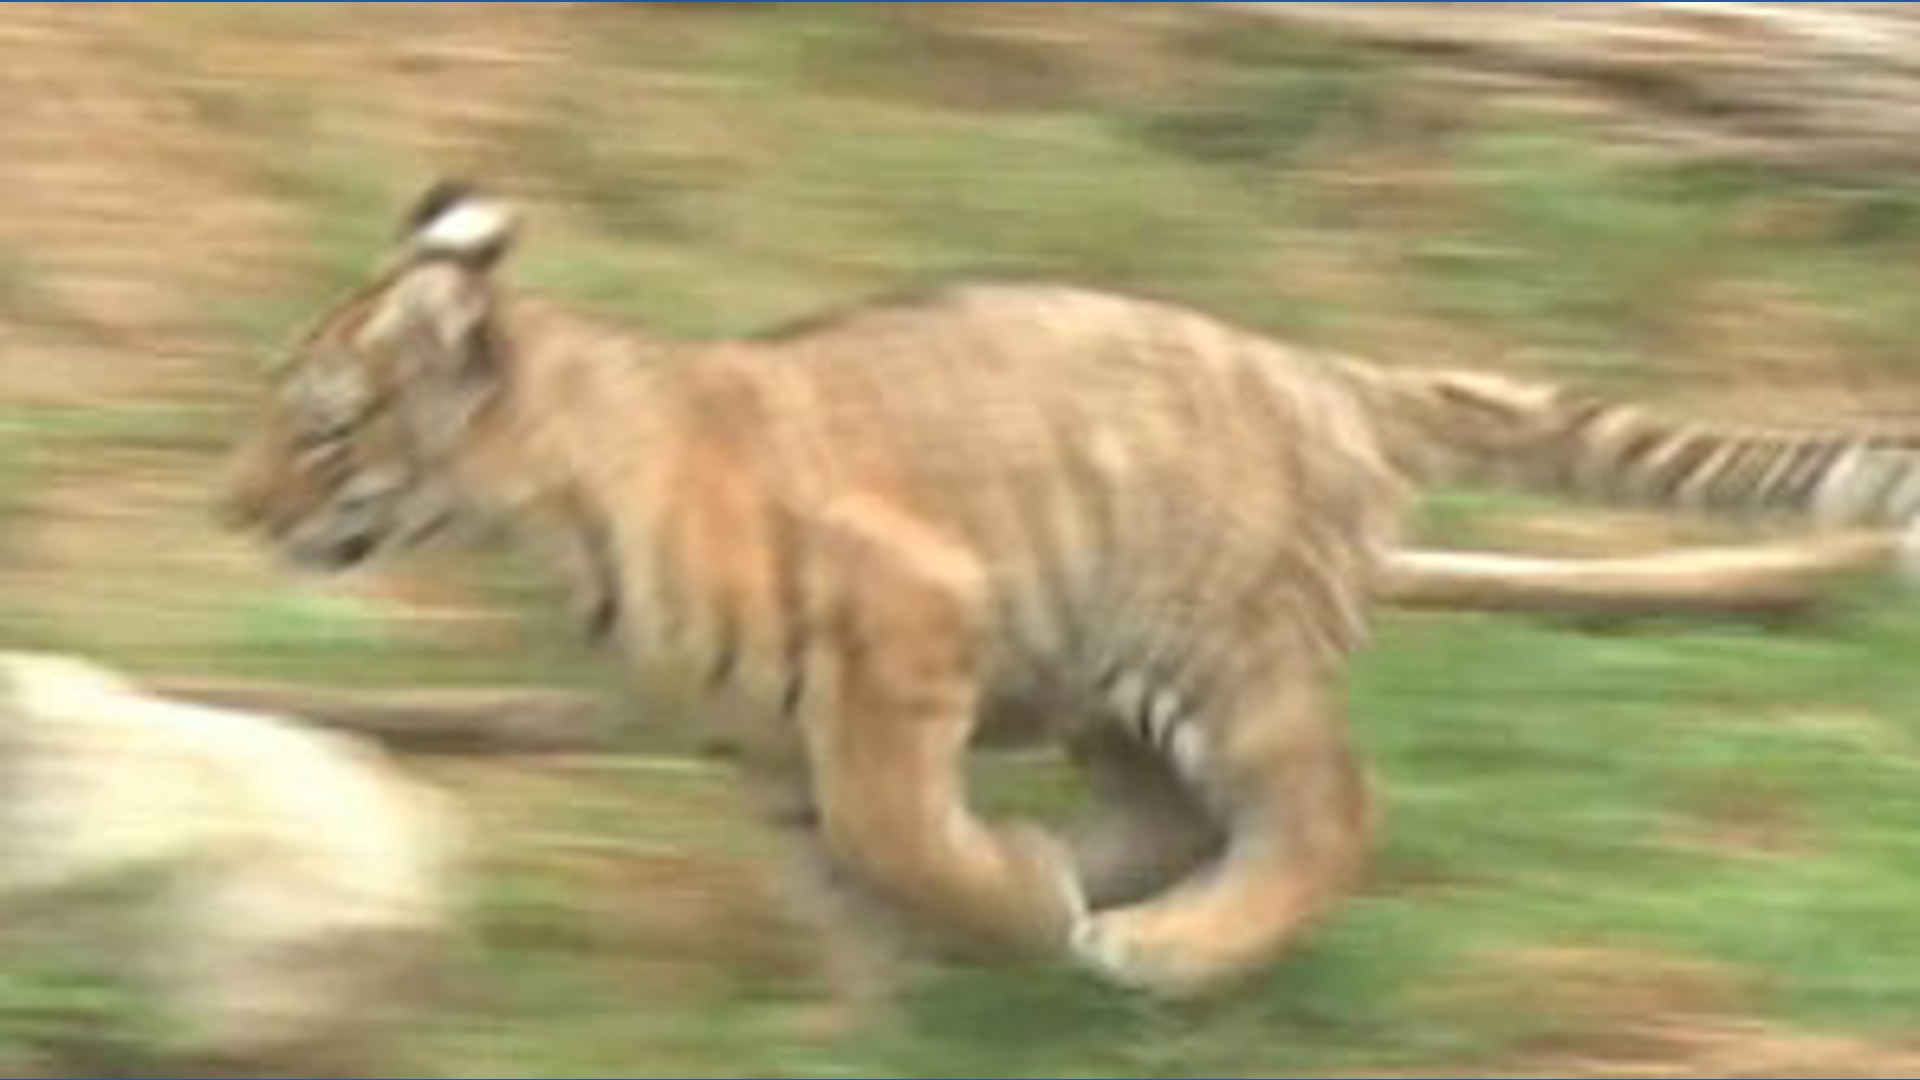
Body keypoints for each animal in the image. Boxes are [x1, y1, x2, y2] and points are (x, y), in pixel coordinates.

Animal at [218, 181, 1920, 998]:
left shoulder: (902, 624)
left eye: (321, 428)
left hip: (1223, 656)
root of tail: (1334, 374)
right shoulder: (766, 745)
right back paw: (1088, 883)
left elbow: (893, 834)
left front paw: (995, 910)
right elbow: (843, 881)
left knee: (1326, 815)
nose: (234, 506)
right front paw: (871, 1025)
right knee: (1167, 816)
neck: (542, 527)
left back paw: (1160, 944)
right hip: (1113, 676)